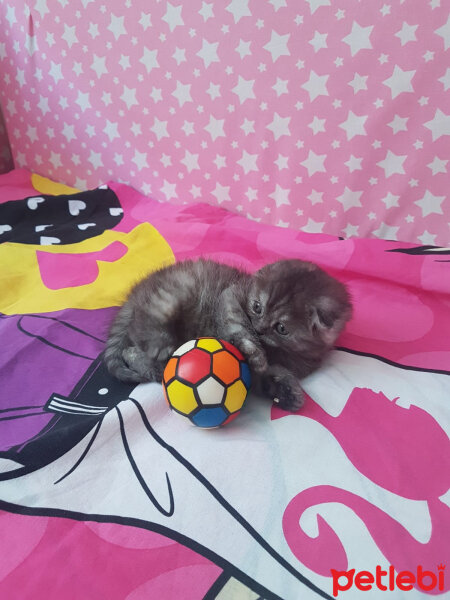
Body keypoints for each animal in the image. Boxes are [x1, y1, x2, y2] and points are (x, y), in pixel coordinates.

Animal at [104, 258, 352, 412]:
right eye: (257, 307)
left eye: (282, 328)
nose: (260, 328)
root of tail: (133, 295)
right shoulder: (230, 295)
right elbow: (237, 324)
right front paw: (253, 350)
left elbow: (267, 378)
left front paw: (287, 393)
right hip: (177, 288)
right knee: (143, 326)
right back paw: (158, 346)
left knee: (133, 350)